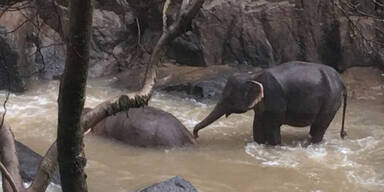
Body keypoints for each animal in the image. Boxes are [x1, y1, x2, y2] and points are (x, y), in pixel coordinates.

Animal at [194, 61, 346, 146]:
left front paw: (275, 146)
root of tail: (341, 80)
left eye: (228, 98)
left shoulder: (274, 98)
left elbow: (273, 127)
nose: (196, 136)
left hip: (330, 102)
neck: (253, 75)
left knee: (319, 127)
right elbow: (257, 125)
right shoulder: (262, 105)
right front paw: (259, 144)